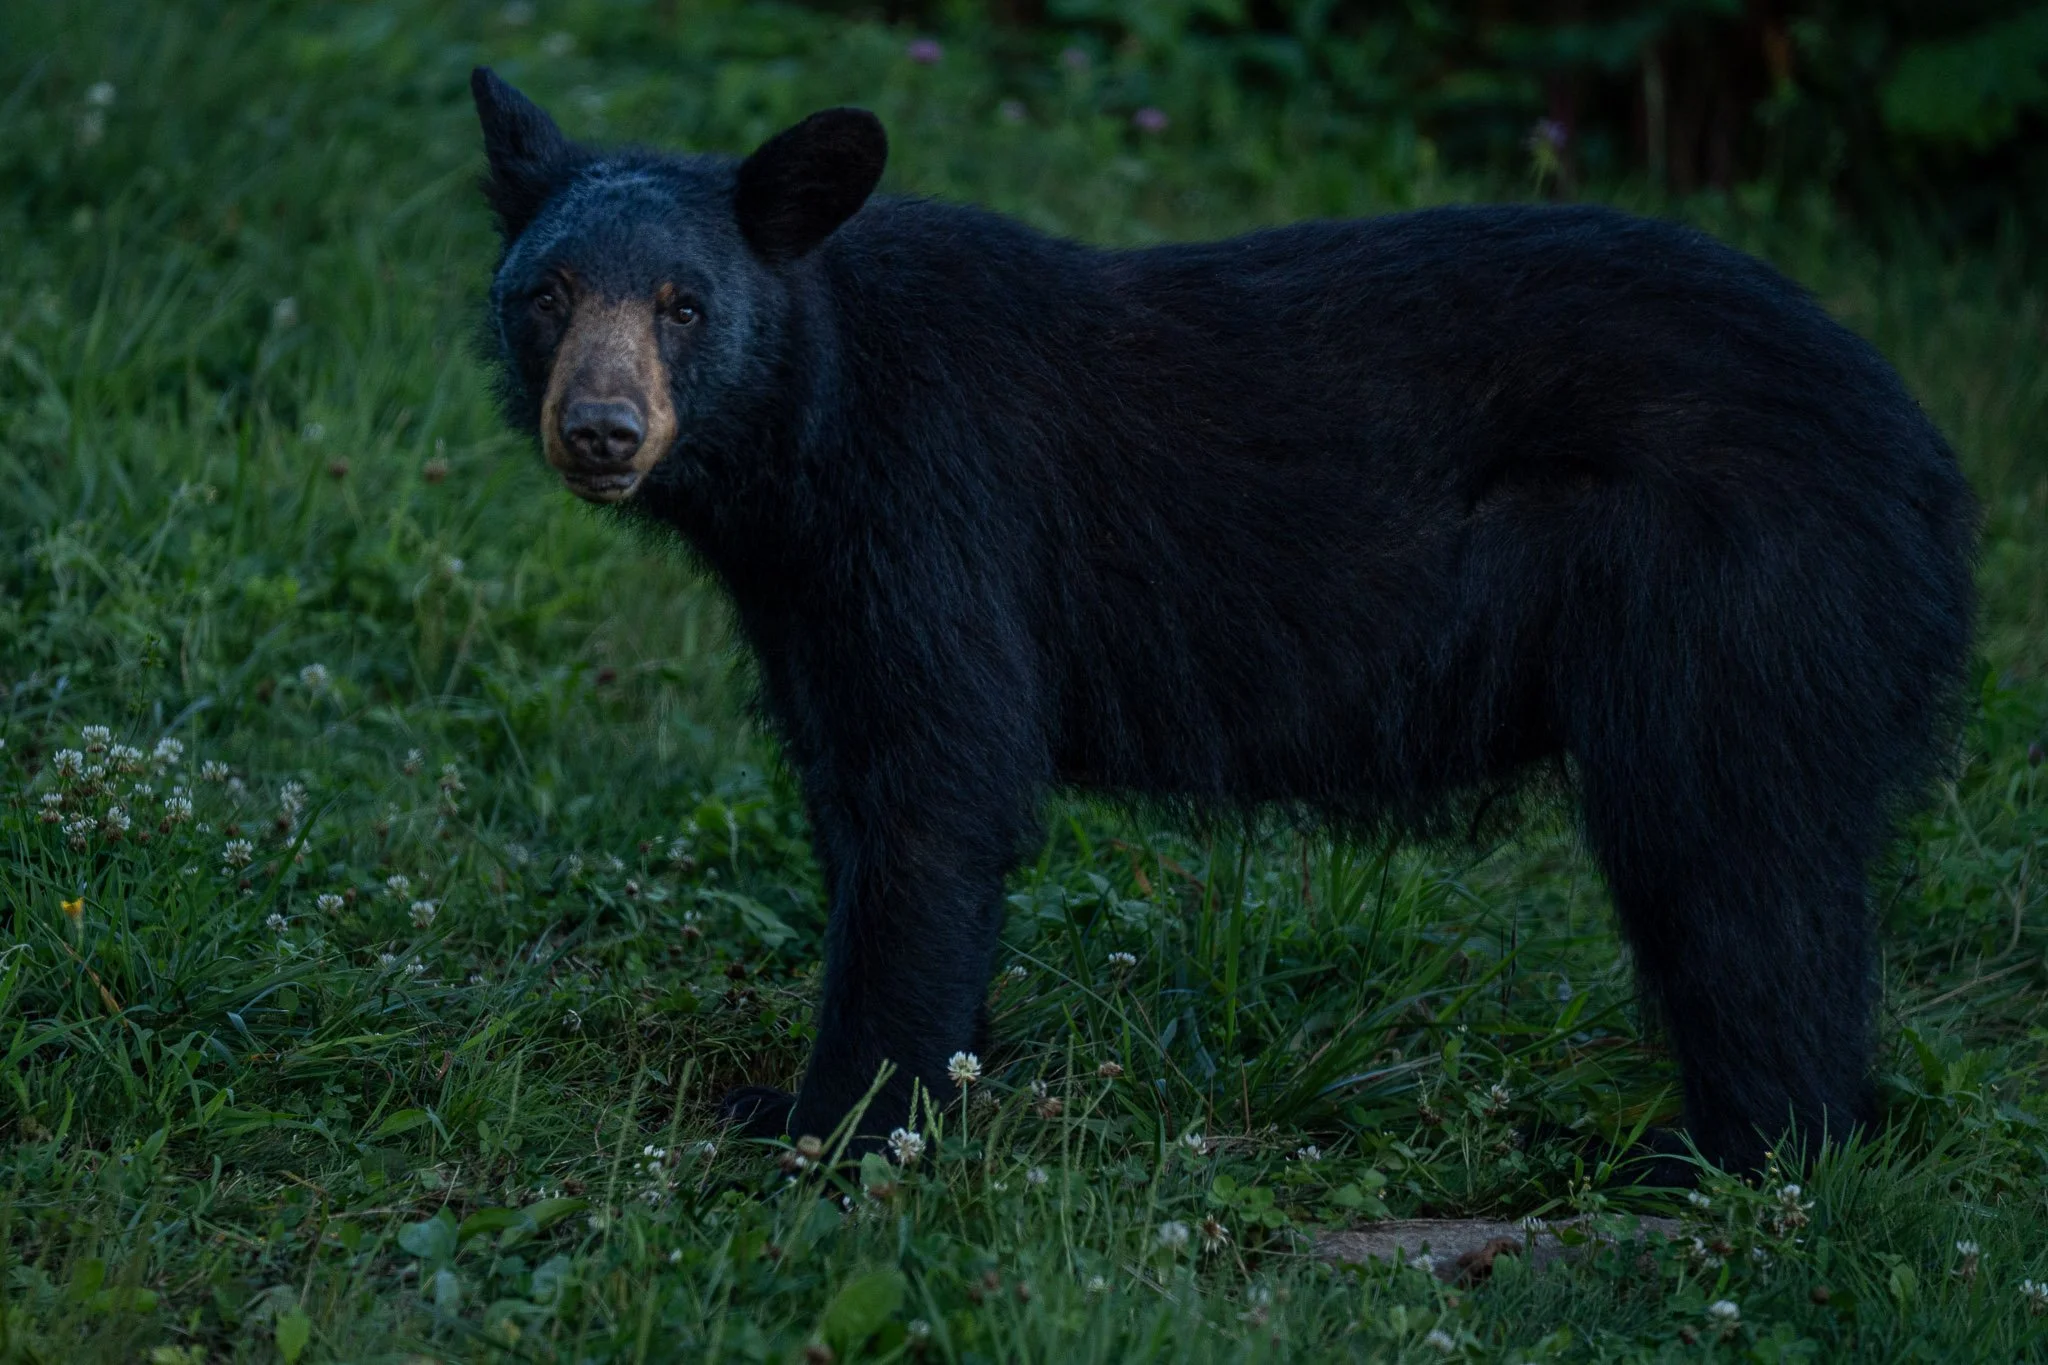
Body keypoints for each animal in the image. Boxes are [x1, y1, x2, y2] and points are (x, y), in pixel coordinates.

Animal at [469, 67, 1977, 1175]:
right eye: (547, 293)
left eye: (685, 305)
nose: (601, 431)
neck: (804, 443)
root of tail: (1929, 466)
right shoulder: (807, 594)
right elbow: (859, 788)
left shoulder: (934, 513)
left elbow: (934, 793)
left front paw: (829, 1123)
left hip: (1738, 592)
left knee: (1733, 864)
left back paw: (1731, 1153)